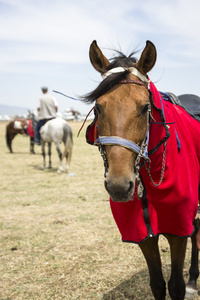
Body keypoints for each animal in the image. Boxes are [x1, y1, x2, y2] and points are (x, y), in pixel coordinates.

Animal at [82, 40, 200, 300]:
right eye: (98, 108)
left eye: (145, 107)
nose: (118, 185)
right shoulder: (143, 234)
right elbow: (157, 284)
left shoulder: (177, 229)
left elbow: (175, 285)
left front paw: (185, 284)